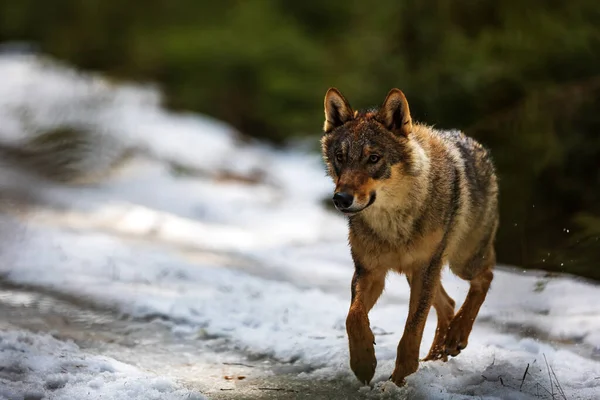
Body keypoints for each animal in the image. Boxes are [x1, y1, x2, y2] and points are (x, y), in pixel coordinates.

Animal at [322, 88, 500, 388]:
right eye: (340, 157)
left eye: (373, 158)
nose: (341, 199)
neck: (393, 223)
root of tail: (476, 145)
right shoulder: (369, 271)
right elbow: (353, 316)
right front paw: (364, 363)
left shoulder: (425, 269)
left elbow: (412, 328)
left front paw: (400, 378)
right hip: (420, 272)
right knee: (448, 304)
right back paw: (436, 356)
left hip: (458, 264)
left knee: (485, 278)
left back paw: (456, 336)